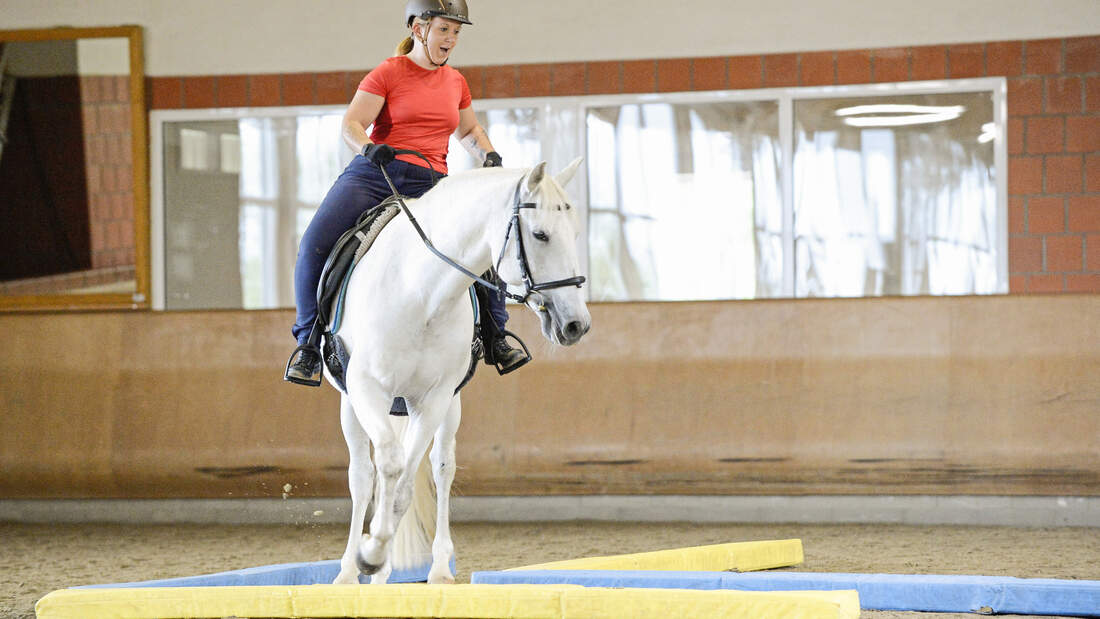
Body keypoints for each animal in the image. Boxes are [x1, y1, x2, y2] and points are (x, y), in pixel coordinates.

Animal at [325, 157, 589, 584]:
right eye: (541, 235)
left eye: (576, 232)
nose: (576, 324)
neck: (419, 292)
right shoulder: (366, 389)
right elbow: (387, 466)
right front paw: (369, 554)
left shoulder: (432, 399)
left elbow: (404, 485)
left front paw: (379, 555)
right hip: (351, 404)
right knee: (363, 475)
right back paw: (349, 572)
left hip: (450, 405)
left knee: (440, 467)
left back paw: (430, 570)